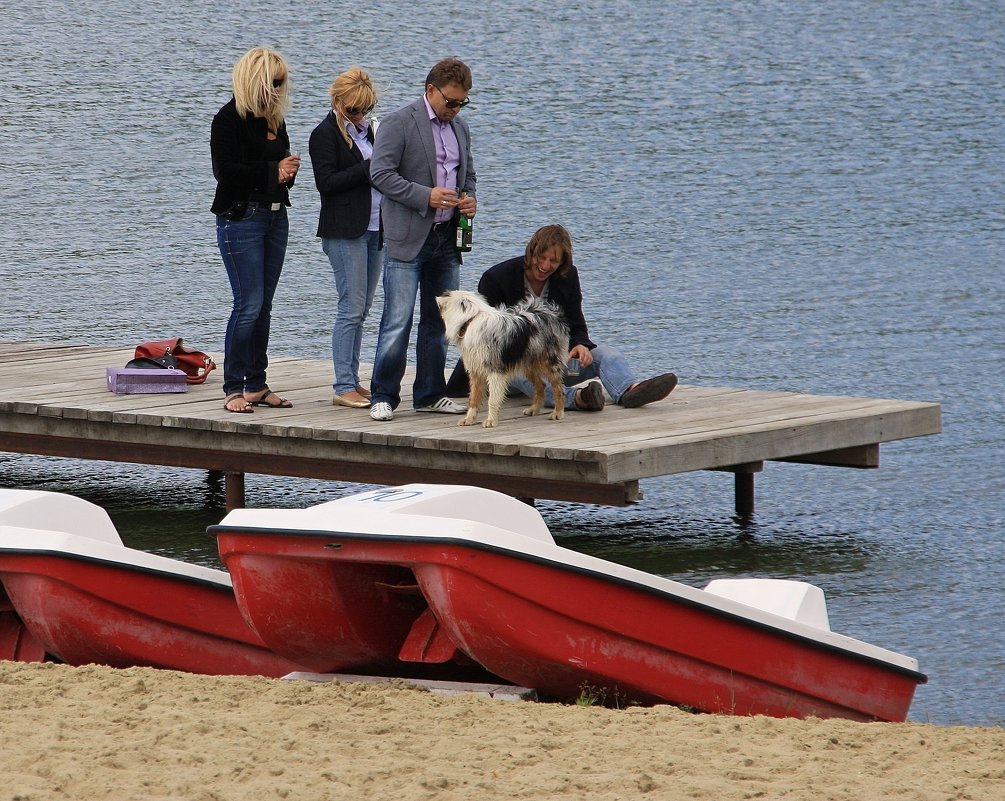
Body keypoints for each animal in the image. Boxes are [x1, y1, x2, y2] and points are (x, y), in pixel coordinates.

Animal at [438, 285, 570, 424]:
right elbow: (473, 398)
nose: (437, 297)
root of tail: (553, 312)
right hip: (527, 363)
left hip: (549, 362)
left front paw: (491, 420)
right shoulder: (476, 371)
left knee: (559, 388)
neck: (471, 320)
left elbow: (492, 399)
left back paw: (558, 413)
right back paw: (533, 409)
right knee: (541, 385)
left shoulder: (495, 370)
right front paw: (468, 419)